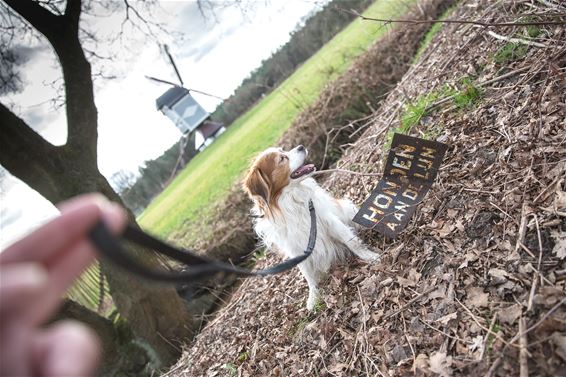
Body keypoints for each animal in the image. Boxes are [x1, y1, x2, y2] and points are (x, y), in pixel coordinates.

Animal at [244, 144, 382, 308]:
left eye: (283, 150)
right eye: (282, 159)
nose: (301, 146)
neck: (291, 201)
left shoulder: (329, 221)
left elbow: (352, 242)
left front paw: (369, 256)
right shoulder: (295, 247)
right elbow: (306, 273)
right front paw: (314, 295)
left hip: (346, 209)